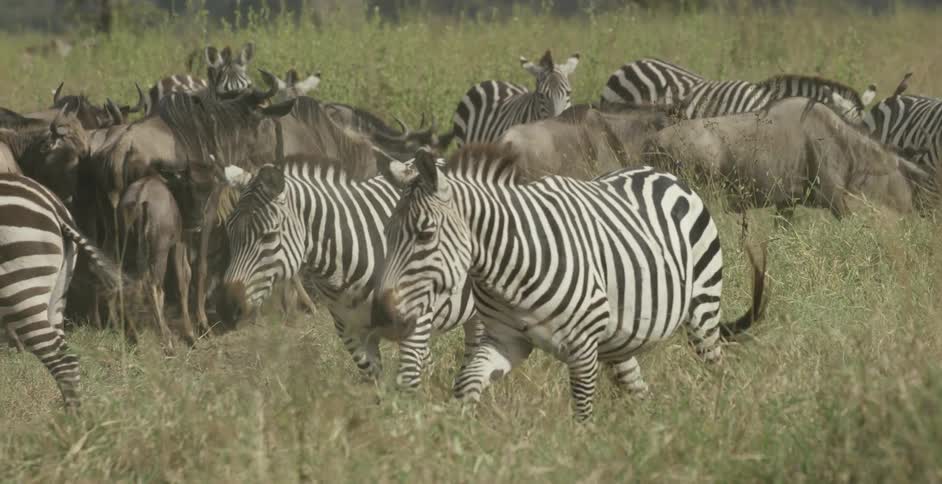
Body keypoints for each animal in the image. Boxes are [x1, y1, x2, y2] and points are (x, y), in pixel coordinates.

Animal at [0, 174, 120, 408]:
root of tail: (54, 207)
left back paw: (73, 419)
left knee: (63, 362)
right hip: (56, 296)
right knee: (66, 357)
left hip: (22, 290)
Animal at [216, 156, 478, 388]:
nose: (228, 307)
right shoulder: (349, 330)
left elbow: (409, 378)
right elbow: (374, 380)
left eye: (268, 236)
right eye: (228, 231)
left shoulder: (416, 317)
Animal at [374, 145, 766, 420]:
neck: (506, 269)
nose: (382, 316)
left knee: (715, 365)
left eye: (425, 235)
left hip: (702, 309)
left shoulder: (582, 346)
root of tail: (659, 172)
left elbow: (582, 411)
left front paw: (582, 450)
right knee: (639, 392)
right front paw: (461, 434)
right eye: (386, 234)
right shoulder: (506, 340)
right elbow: (467, 382)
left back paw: (717, 417)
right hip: (618, 340)